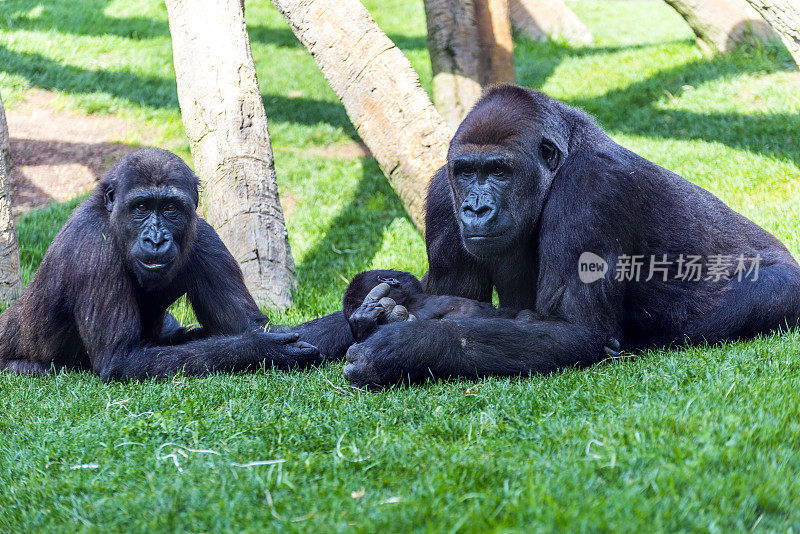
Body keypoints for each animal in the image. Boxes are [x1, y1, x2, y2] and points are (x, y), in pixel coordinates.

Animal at [0, 148, 350, 382]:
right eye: (141, 207)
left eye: (170, 208)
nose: (156, 238)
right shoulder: (93, 249)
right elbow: (120, 359)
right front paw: (261, 348)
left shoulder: (206, 238)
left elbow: (251, 324)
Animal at [342, 86, 800, 388]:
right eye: (467, 171)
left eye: (499, 171)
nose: (475, 209)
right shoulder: (442, 191)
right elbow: (457, 300)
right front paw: (402, 307)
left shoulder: (590, 186)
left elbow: (575, 331)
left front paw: (402, 348)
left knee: (766, 294)